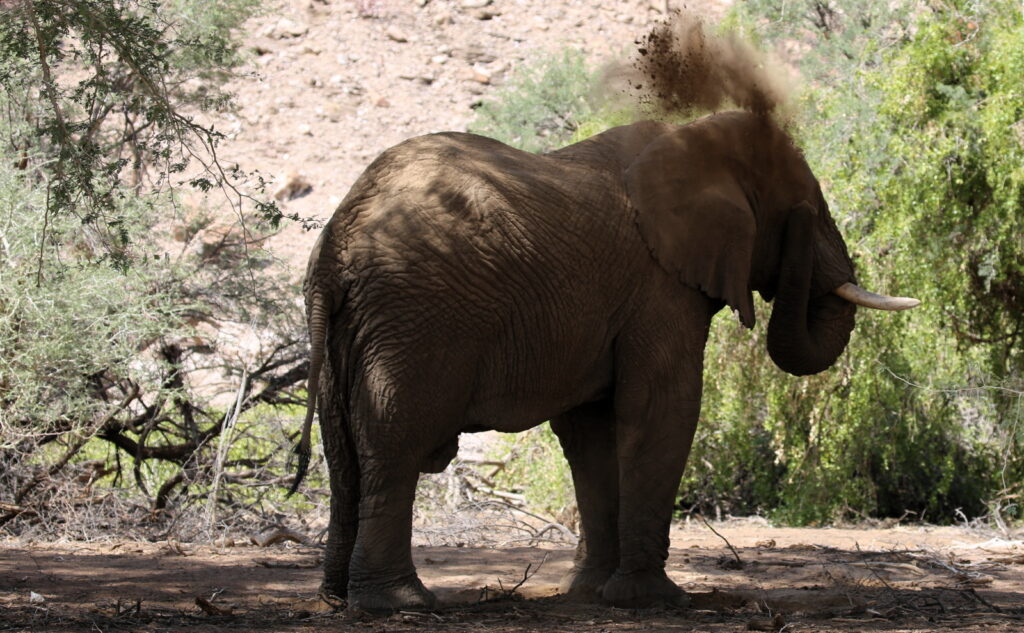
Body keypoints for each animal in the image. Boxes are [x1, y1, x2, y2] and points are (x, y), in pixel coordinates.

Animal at [290, 109, 921, 610]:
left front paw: (591, 594)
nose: (803, 224)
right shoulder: (658, 286)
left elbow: (591, 432)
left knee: (344, 457)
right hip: (414, 321)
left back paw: (337, 599)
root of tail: (338, 240)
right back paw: (401, 605)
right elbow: (664, 409)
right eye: (806, 207)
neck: (693, 138)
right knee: (394, 447)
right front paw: (654, 600)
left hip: (353, 330)